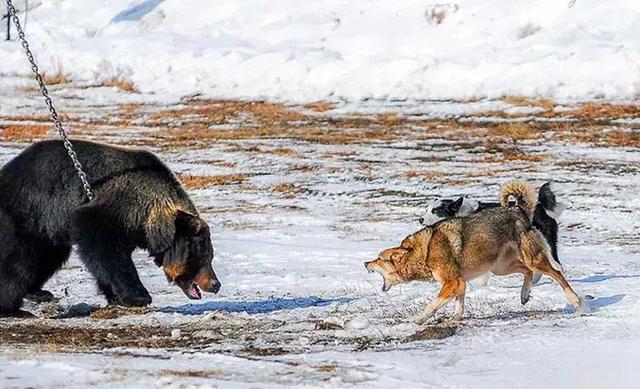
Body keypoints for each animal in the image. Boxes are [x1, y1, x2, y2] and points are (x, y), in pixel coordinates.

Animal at [0, 139, 220, 316]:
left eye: (209, 256)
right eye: (201, 257)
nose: (215, 284)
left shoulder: (130, 228)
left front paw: (116, 296)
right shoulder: (112, 208)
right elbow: (104, 249)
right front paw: (139, 296)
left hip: (47, 231)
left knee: (49, 257)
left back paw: (39, 292)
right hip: (26, 215)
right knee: (19, 262)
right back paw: (13, 308)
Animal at [418, 183, 564, 284]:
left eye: (435, 211)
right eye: (426, 210)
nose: (420, 219)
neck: (460, 213)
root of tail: (541, 206)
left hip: (545, 243)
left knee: (557, 265)